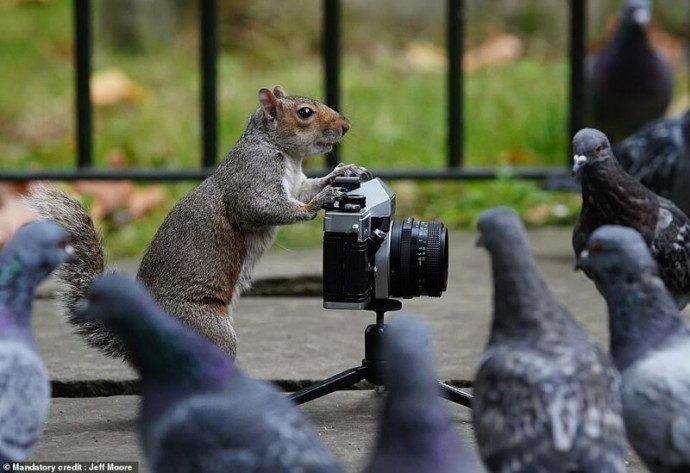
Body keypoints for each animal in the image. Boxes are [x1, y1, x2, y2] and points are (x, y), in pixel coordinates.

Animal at [26, 85, 368, 358]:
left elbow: (306, 187)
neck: (281, 151)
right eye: (305, 112)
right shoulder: (251, 180)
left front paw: (340, 173)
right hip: (206, 328)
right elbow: (264, 208)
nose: (347, 125)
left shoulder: (295, 183)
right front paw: (321, 200)